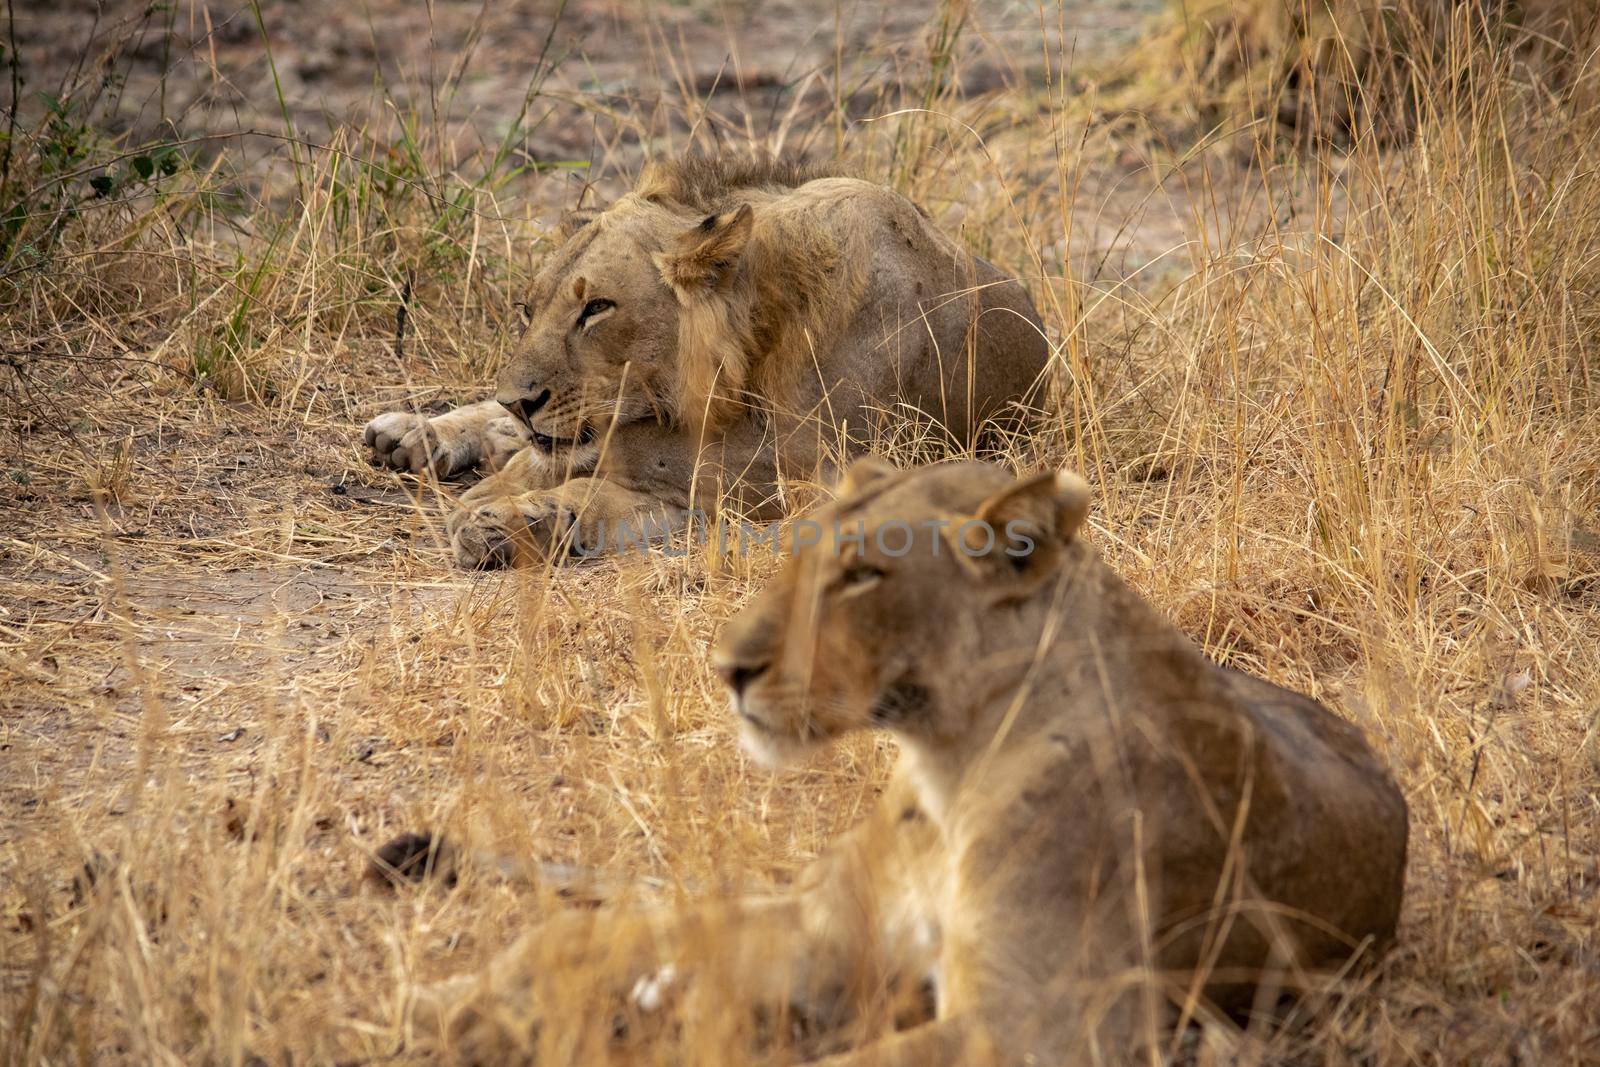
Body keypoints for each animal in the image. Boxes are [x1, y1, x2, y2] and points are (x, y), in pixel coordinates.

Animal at [363, 156, 1049, 566]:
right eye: (528, 310)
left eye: (598, 308)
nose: (518, 398)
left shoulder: (816, 472)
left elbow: (643, 475)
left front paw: (511, 512)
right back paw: (411, 433)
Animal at [419, 460, 1408, 1067]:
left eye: (864, 576)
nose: (728, 669)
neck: (946, 765)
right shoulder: (826, 929)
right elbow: (589, 932)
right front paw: (471, 1001)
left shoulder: (1044, 1028)